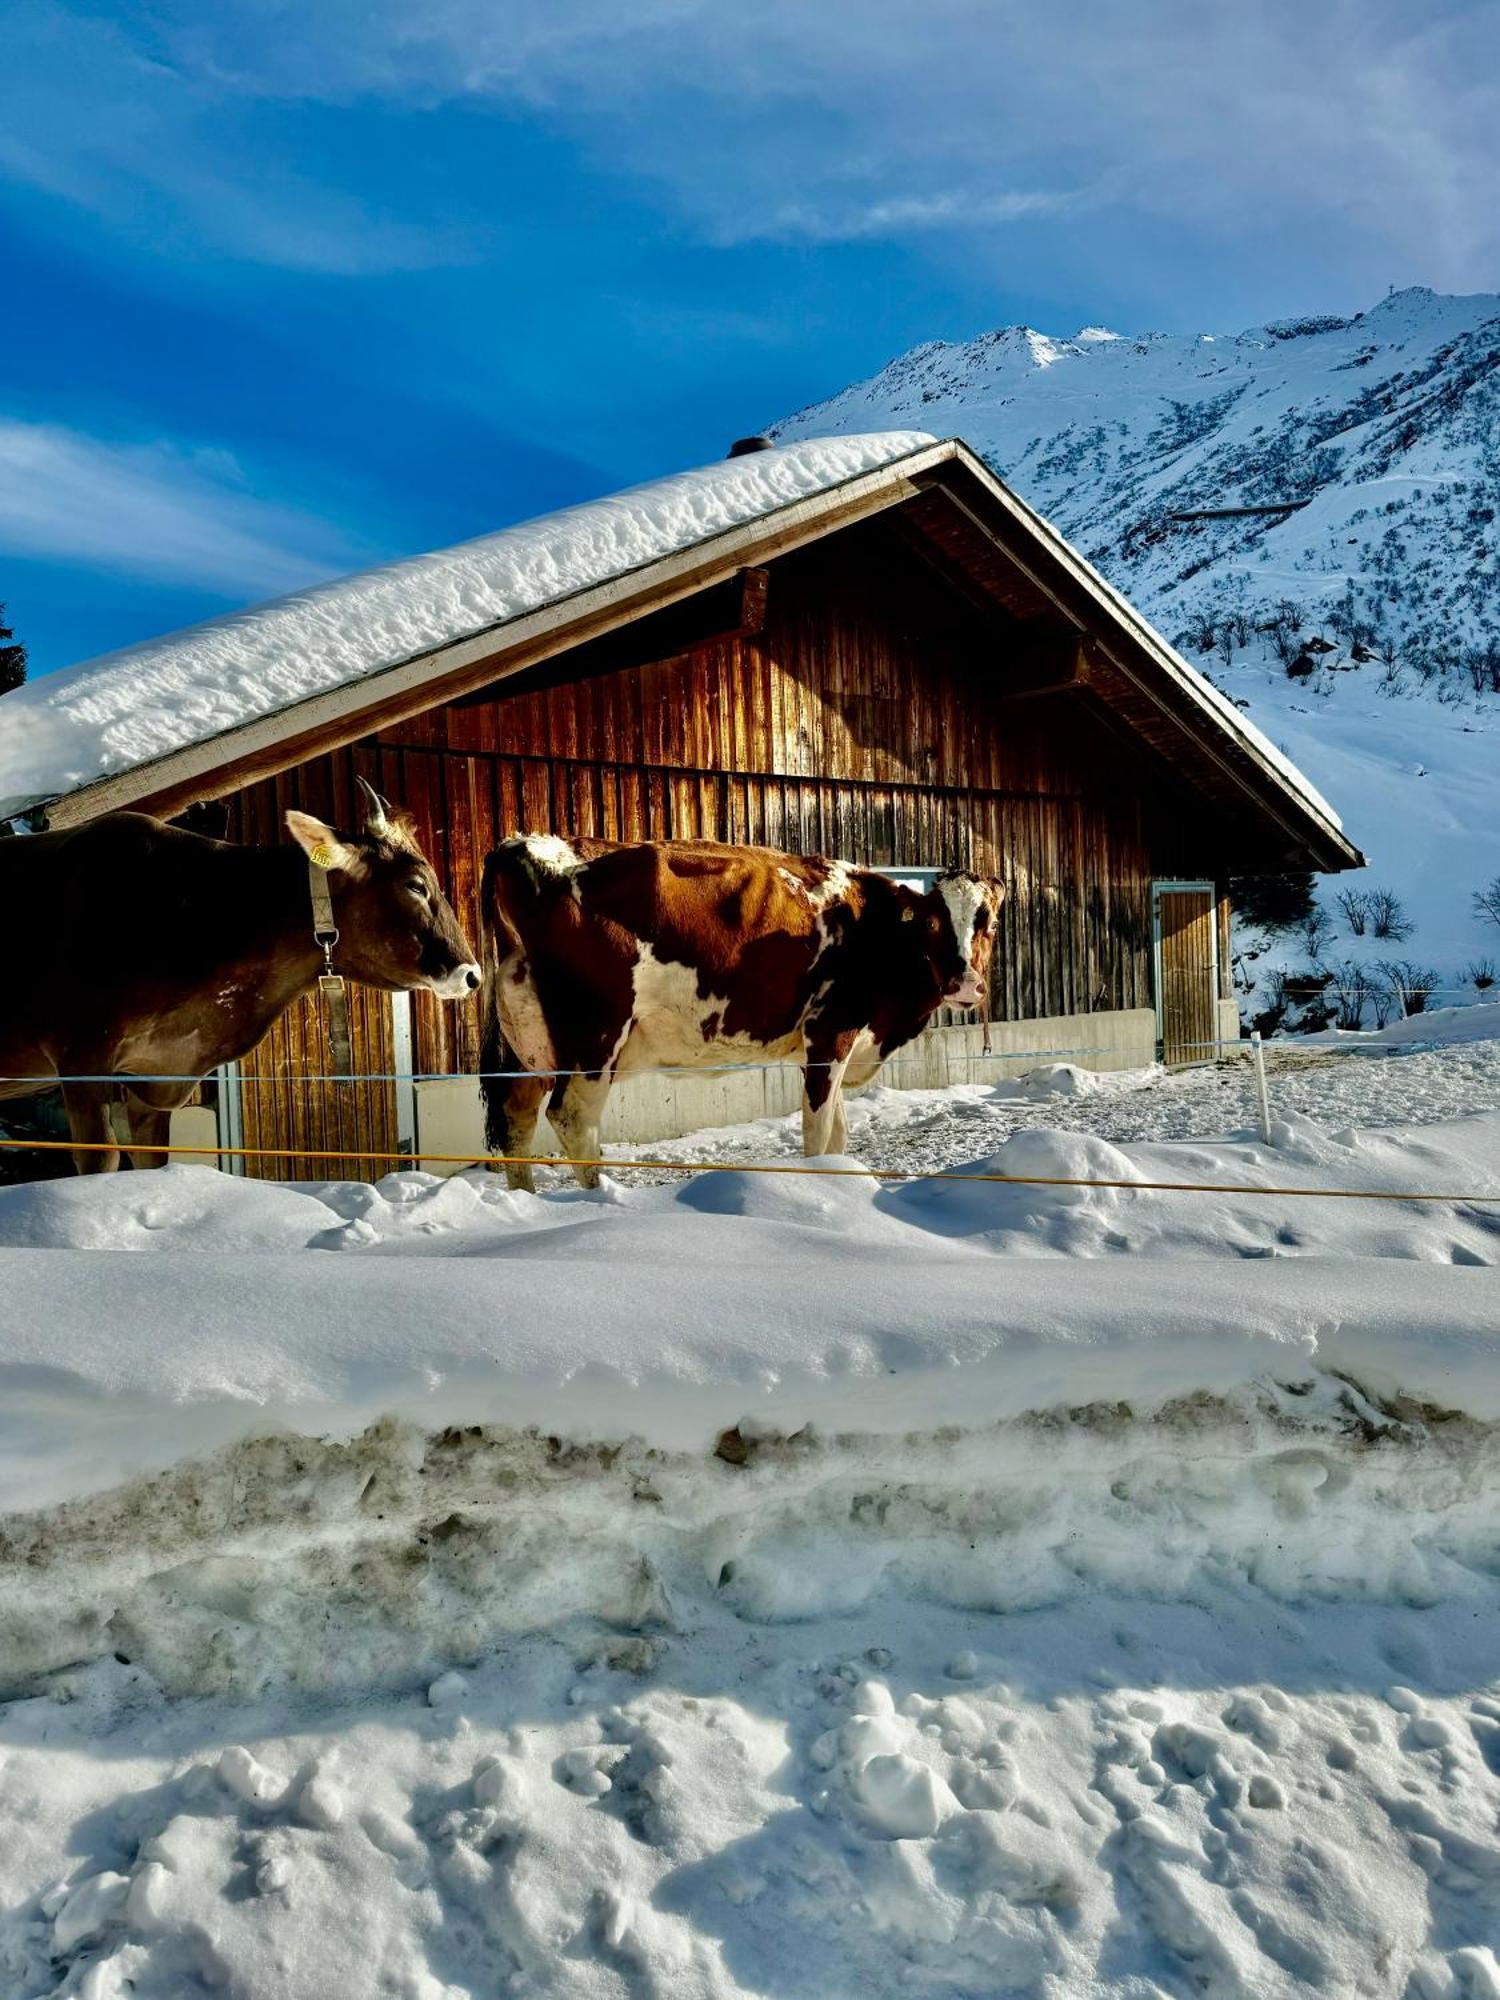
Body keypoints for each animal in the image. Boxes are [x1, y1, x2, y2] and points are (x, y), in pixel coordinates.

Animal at [476, 832, 1004, 1184]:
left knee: (516, 1119)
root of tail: (527, 847)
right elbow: (819, 1133)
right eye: (933, 925)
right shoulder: (830, 1032)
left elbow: (837, 1132)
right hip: (595, 1035)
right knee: (572, 1119)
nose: (965, 984)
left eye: (991, 924)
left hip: (530, 1045)